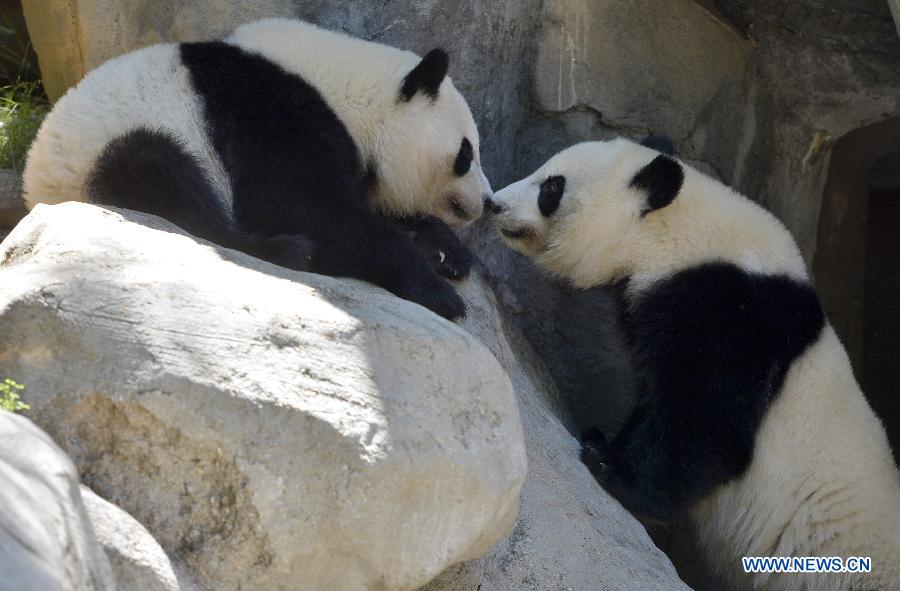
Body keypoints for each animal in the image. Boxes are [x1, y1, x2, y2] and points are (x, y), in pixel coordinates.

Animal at [24, 18, 496, 322]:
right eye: (465, 154)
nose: (489, 203)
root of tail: (37, 192)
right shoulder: (270, 116)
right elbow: (305, 208)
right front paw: (437, 292)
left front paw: (448, 252)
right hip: (101, 156)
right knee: (162, 177)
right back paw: (284, 249)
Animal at [488, 138, 900, 588]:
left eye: (552, 188)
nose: (493, 203)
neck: (680, 232)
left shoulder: (734, 315)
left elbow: (707, 426)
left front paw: (607, 463)